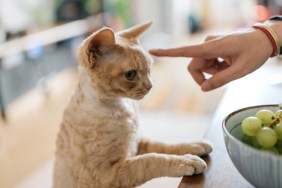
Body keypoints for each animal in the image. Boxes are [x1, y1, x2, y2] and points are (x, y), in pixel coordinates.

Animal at [52, 21, 212, 187]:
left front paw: (194, 145)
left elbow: (164, 145)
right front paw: (186, 161)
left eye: (149, 69)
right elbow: (150, 159)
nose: (150, 86)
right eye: (130, 74)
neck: (121, 105)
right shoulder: (106, 176)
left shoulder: (138, 143)